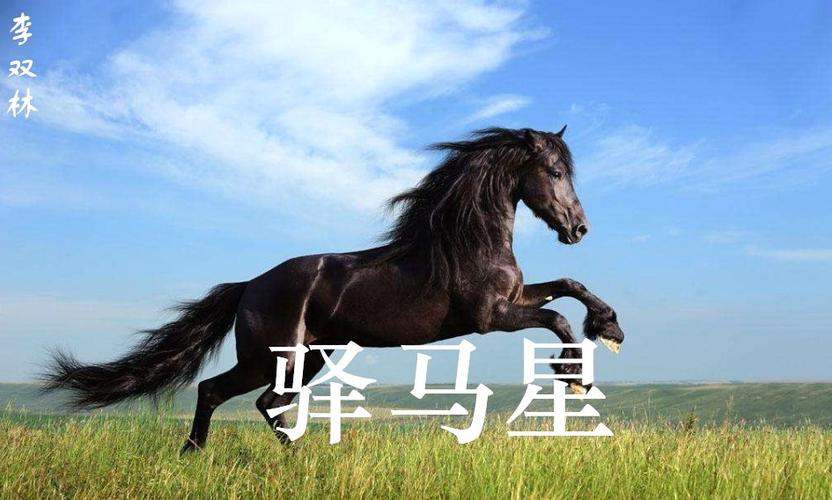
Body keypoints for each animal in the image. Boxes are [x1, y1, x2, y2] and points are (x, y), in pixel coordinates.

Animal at [42, 126, 625, 452]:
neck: (468, 241)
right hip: (272, 356)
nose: (579, 229)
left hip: (308, 359)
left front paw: (610, 328)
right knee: (229, 394)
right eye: (554, 172)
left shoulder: (514, 299)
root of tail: (248, 286)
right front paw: (575, 375)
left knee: (256, 401)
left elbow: (570, 285)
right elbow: (557, 317)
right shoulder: (489, 316)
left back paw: (234, 456)